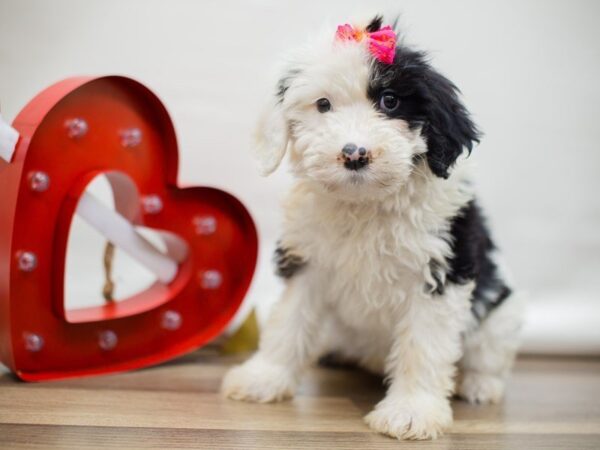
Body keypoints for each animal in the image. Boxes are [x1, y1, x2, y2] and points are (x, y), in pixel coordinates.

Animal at [223, 14, 524, 440]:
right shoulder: (308, 261)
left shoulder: (439, 271)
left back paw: (480, 384)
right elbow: (289, 321)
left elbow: (424, 345)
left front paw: (412, 411)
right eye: (323, 104)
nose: (354, 154)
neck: (365, 205)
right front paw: (264, 377)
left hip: (502, 311)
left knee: (490, 353)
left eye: (390, 101)